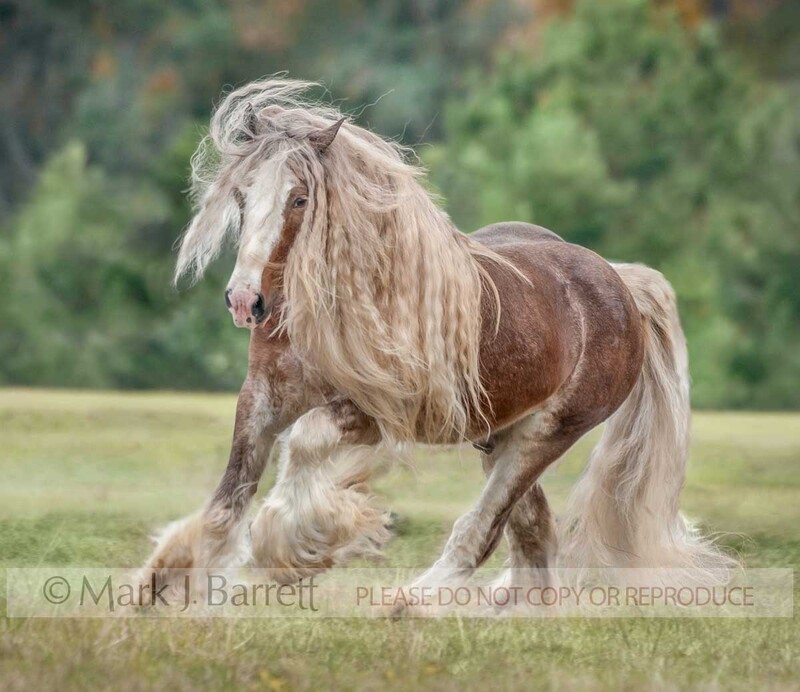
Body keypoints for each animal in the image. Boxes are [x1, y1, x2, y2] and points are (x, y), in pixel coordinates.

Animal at [140, 78, 732, 608]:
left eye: (300, 199)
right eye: (242, 195)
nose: (245, 301)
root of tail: (619, 284)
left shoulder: (376, 413)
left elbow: (305, 445)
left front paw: (295, 548)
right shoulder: (262, 399)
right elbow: (227, 499)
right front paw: (161, 583)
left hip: (544, 434)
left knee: (482, 529)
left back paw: (410, 603)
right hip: (500, 436)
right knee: (532, 533)